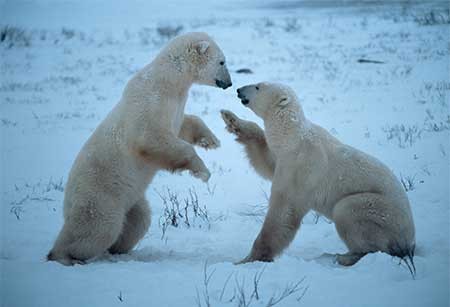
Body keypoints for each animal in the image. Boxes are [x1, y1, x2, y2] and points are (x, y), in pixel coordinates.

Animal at [47, 31, 232, 268]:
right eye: (222, 62)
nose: (229, 83)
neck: (168, 80)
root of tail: (67, 201)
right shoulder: (150, 101)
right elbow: (151, 137)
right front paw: (203, 172)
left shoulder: (175, 104)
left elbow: (183, 125)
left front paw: (211, 140)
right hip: (101, 195)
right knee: (97, 229)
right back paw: (63, 255)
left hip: (131, 198)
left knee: (138, 221)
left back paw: (119, 249)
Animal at [221, 81, 414, 270]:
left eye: (258, 87)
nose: (238, 90)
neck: (293, 136)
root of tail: (410, 239)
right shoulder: (284, 157)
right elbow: (267, 161)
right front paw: (231, 119)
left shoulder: (301, 164)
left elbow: (284, 210)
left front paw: (247, 259)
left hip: (380, 212)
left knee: (348, 211)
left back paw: (346, 257)